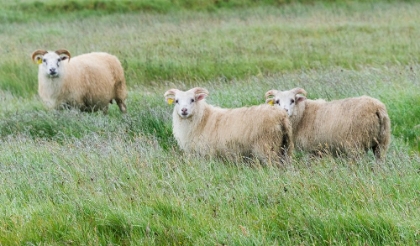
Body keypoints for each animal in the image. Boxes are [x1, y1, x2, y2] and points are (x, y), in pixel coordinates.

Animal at [162, 86, 294, 165]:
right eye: (177, 101)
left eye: (192, 100)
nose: (184, 110)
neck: (202, 119)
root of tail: (280, 116)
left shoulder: (206, 154)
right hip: (285, 147)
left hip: (268, 147)